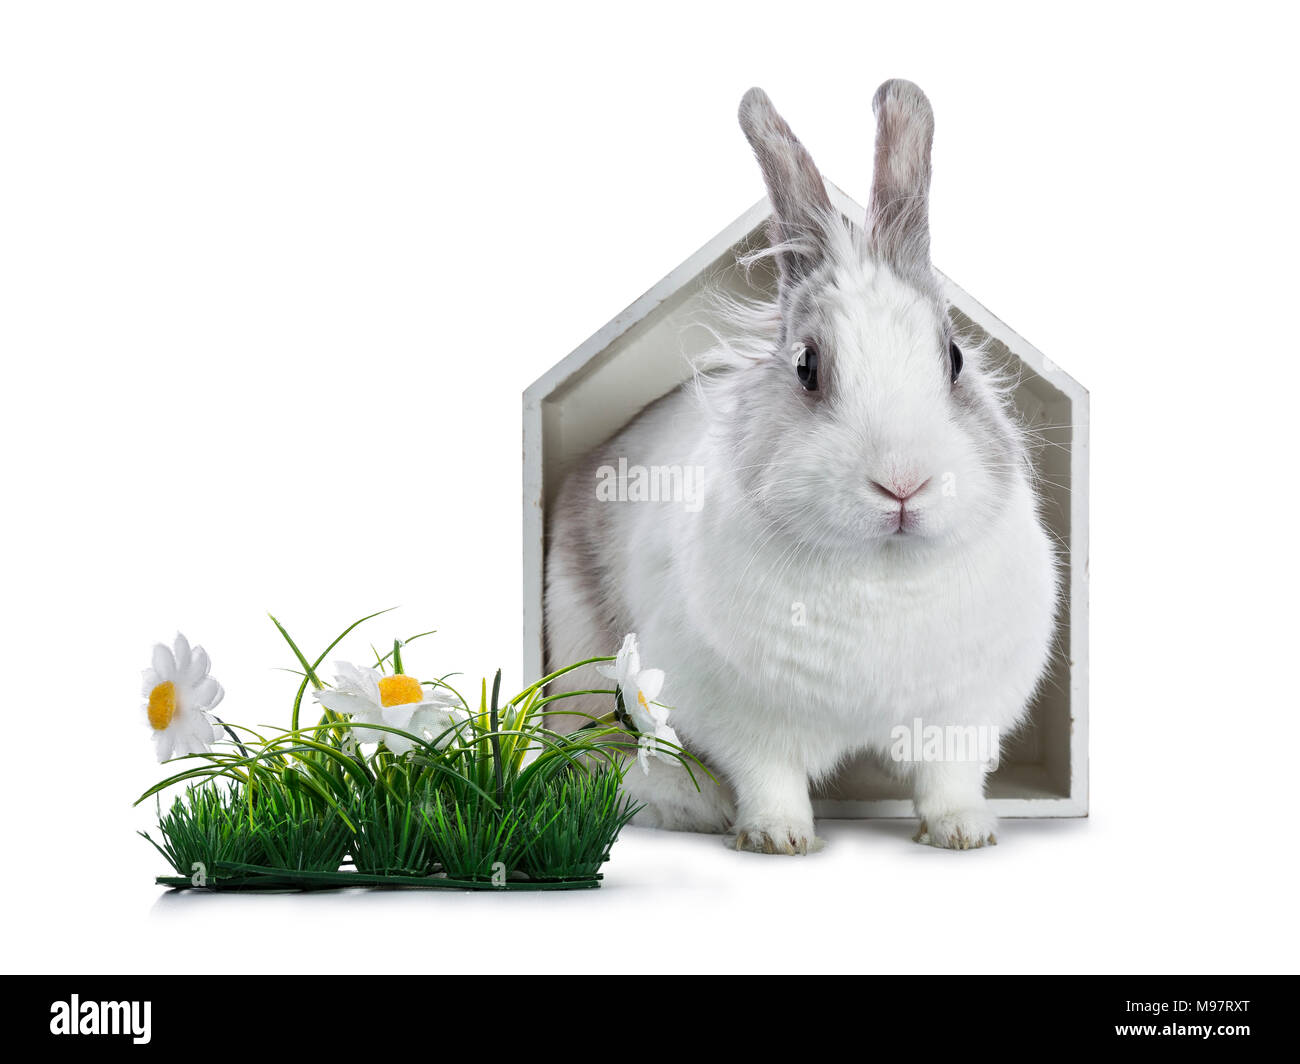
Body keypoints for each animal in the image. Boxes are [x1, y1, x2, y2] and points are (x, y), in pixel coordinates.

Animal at [544, 80, 1058, 854]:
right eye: (807, 367)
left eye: (955, 358)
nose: (902, 483)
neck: (882, 570)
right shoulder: (745, 717)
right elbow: (770, 776)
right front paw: (777, 839)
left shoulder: (961, 712)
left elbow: (948, 776)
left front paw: (964, 833)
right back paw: (692, 806)